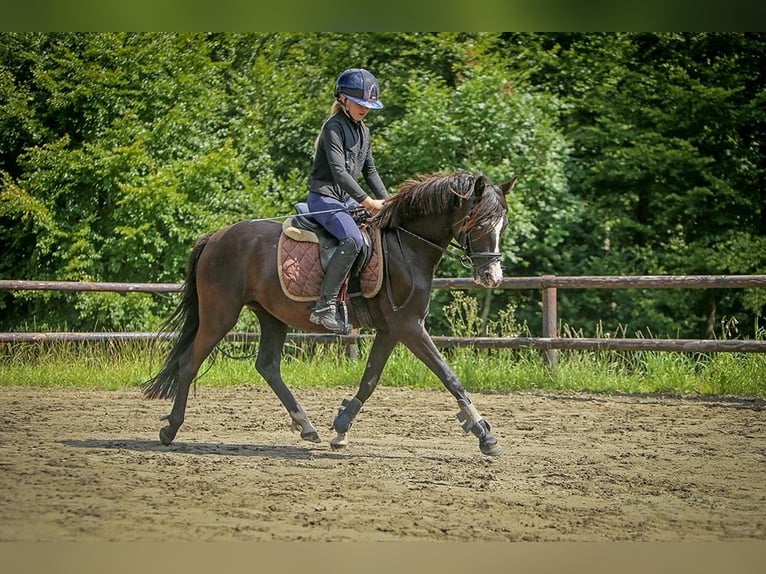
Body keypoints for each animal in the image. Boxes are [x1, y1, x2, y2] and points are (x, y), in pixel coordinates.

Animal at [144, 169, 516, 456]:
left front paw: (340, 428)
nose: (492, 277)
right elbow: (449, 376)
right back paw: (170, 429)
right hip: (220, 314)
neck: (407, 245)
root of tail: (216, 237)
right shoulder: (409, 326)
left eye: (503, 224)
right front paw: (484, 434)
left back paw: (306, 426)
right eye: (478, 221)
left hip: (271, 315)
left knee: (267, 366)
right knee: (189, 363)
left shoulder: (391, 330)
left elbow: (369, 381)